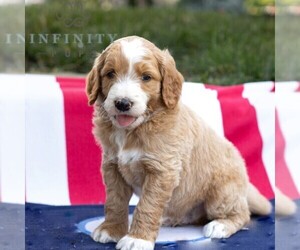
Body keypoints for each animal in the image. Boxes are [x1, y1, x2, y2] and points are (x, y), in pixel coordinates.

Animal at [85, 35, 272, 250]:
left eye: (146, 77)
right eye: (110, 74)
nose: (122, 103)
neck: (133, 130)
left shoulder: (162, 170)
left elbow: (147, 205)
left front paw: (137, 239)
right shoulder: (112, 166)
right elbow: (114, 201)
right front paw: (111, 229)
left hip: (222, 192)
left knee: (242, 214)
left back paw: (220, 225)